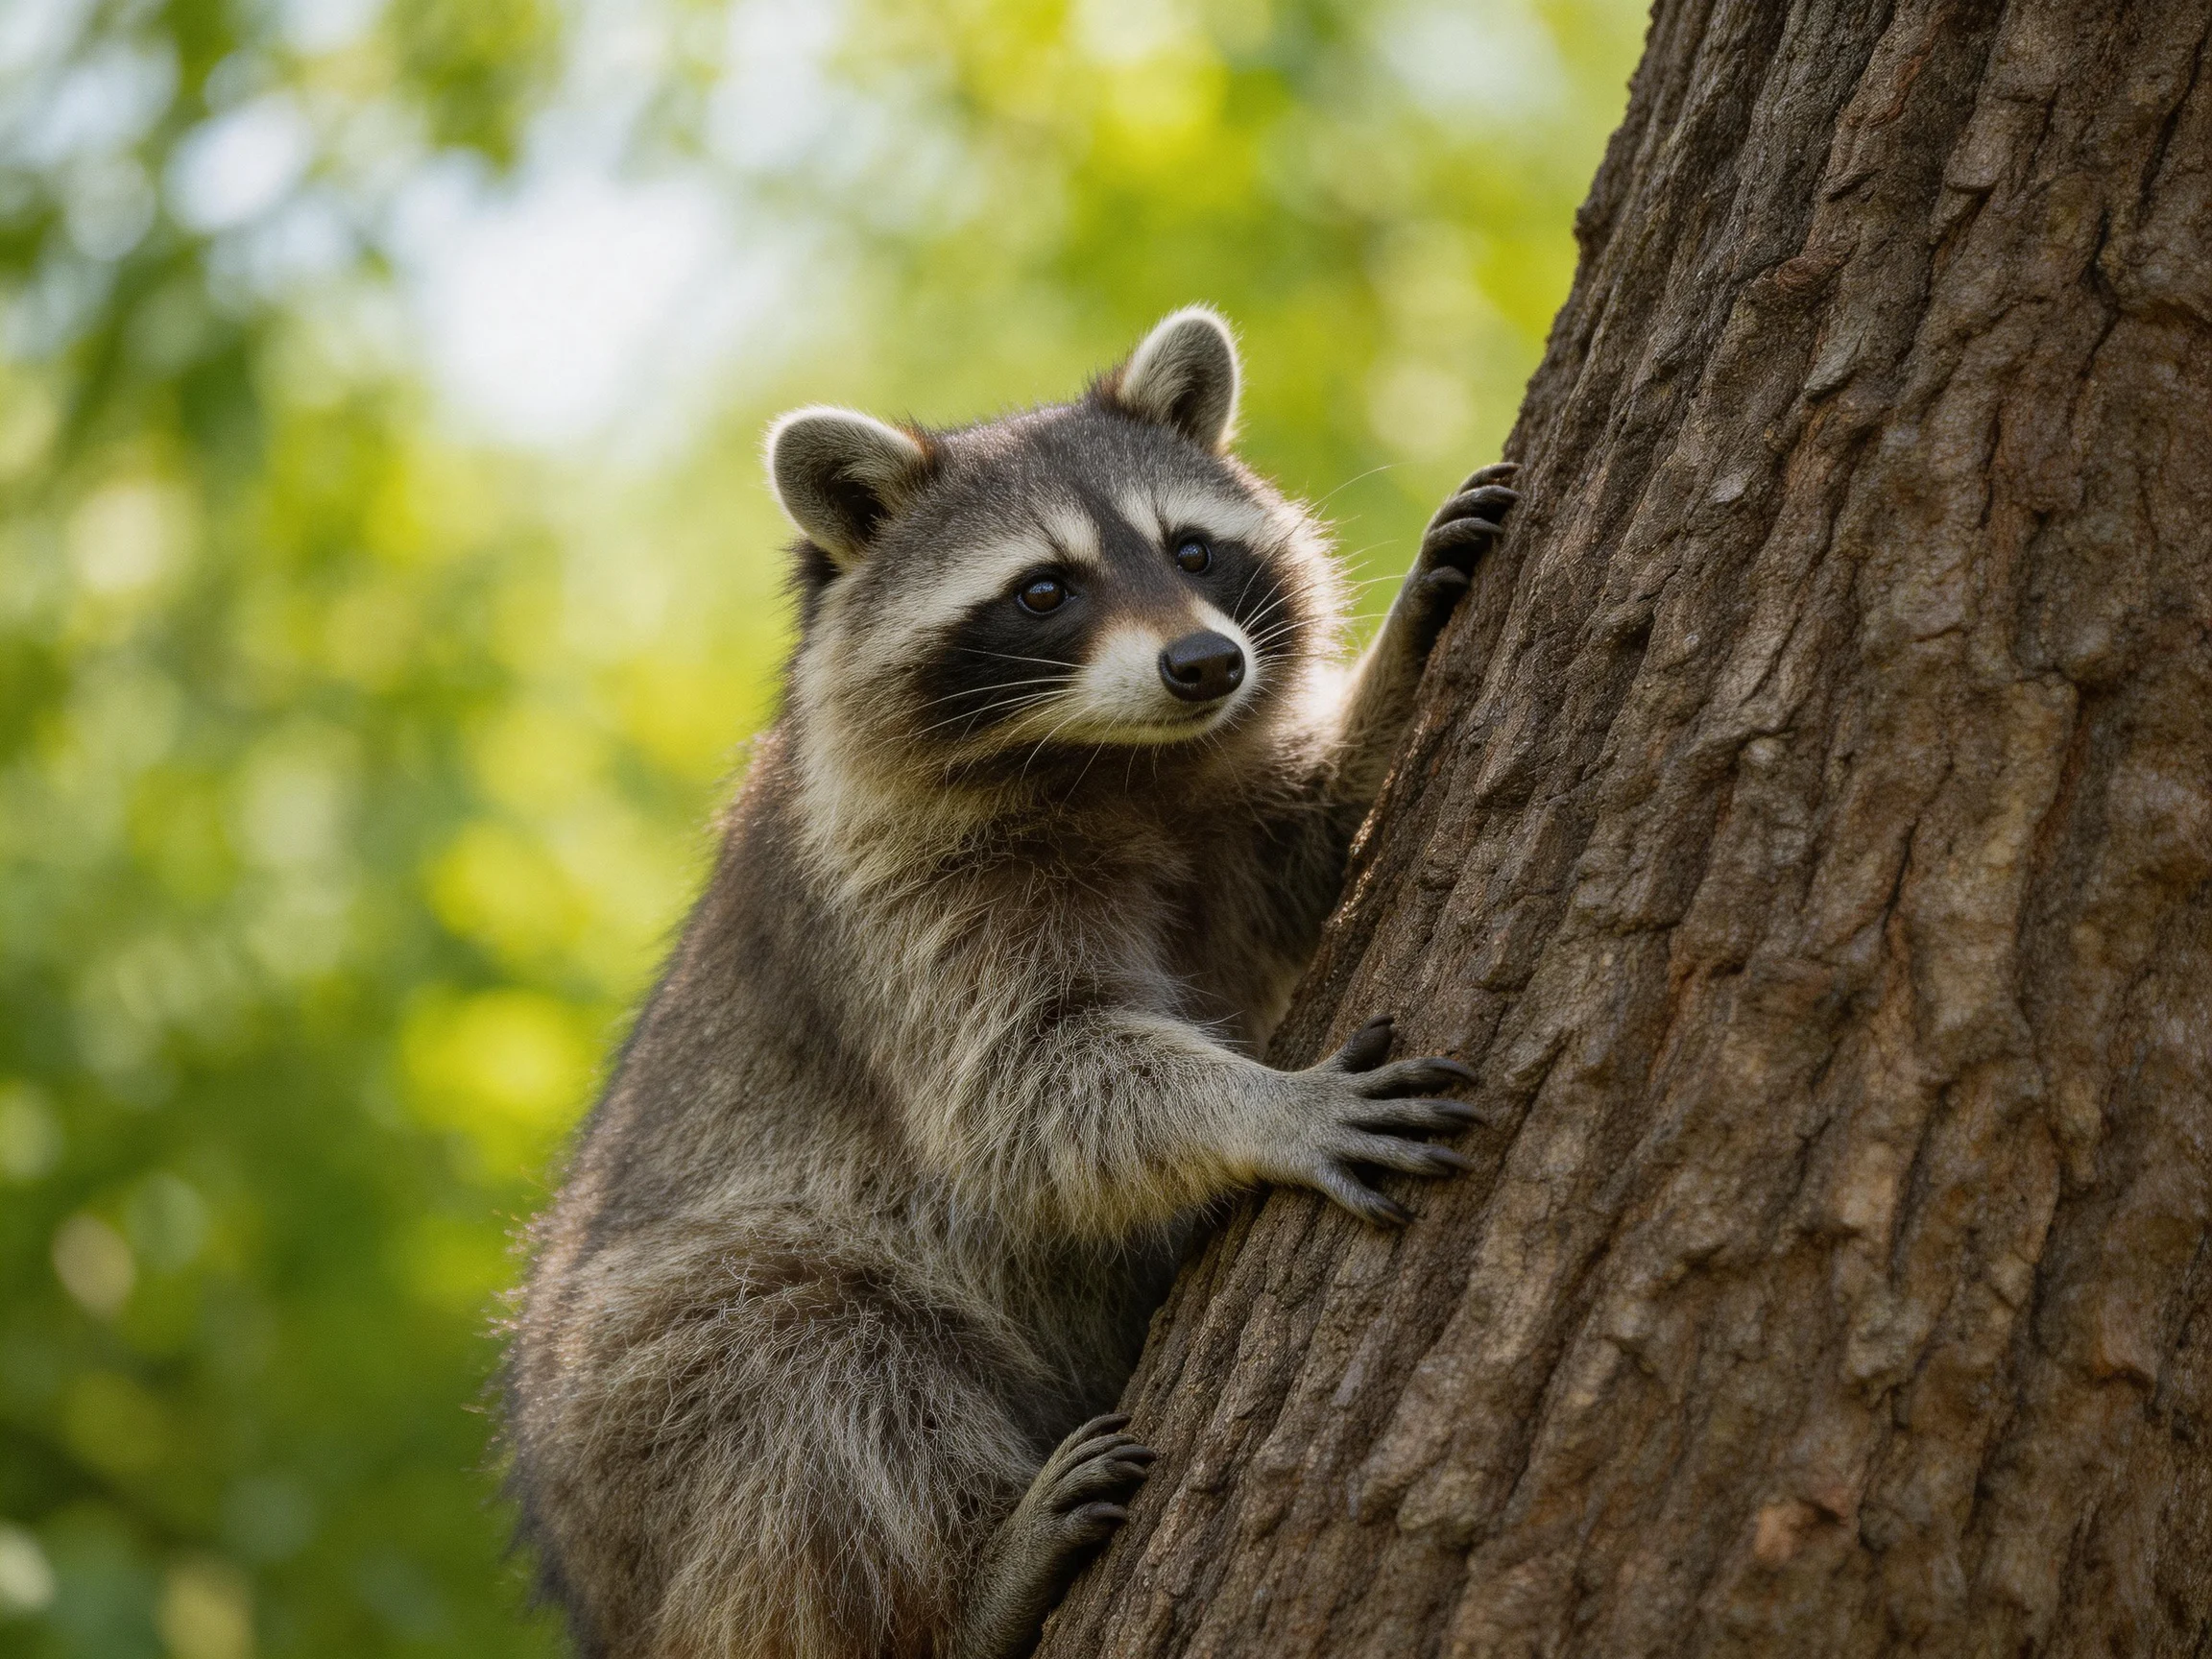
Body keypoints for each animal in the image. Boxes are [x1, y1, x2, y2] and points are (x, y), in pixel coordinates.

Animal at [506, 308, 1521, 1659]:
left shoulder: (1217, 804)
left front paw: (1397, 661)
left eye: (1192, 549)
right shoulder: (897, 909)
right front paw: (1269, 1109)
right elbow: (1026, 1087)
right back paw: (974, 1589)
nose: (1206, 664)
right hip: (638, 1412)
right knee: (798, 1375)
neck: (1109, 764)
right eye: (1045, 591)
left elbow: (1307, 848)